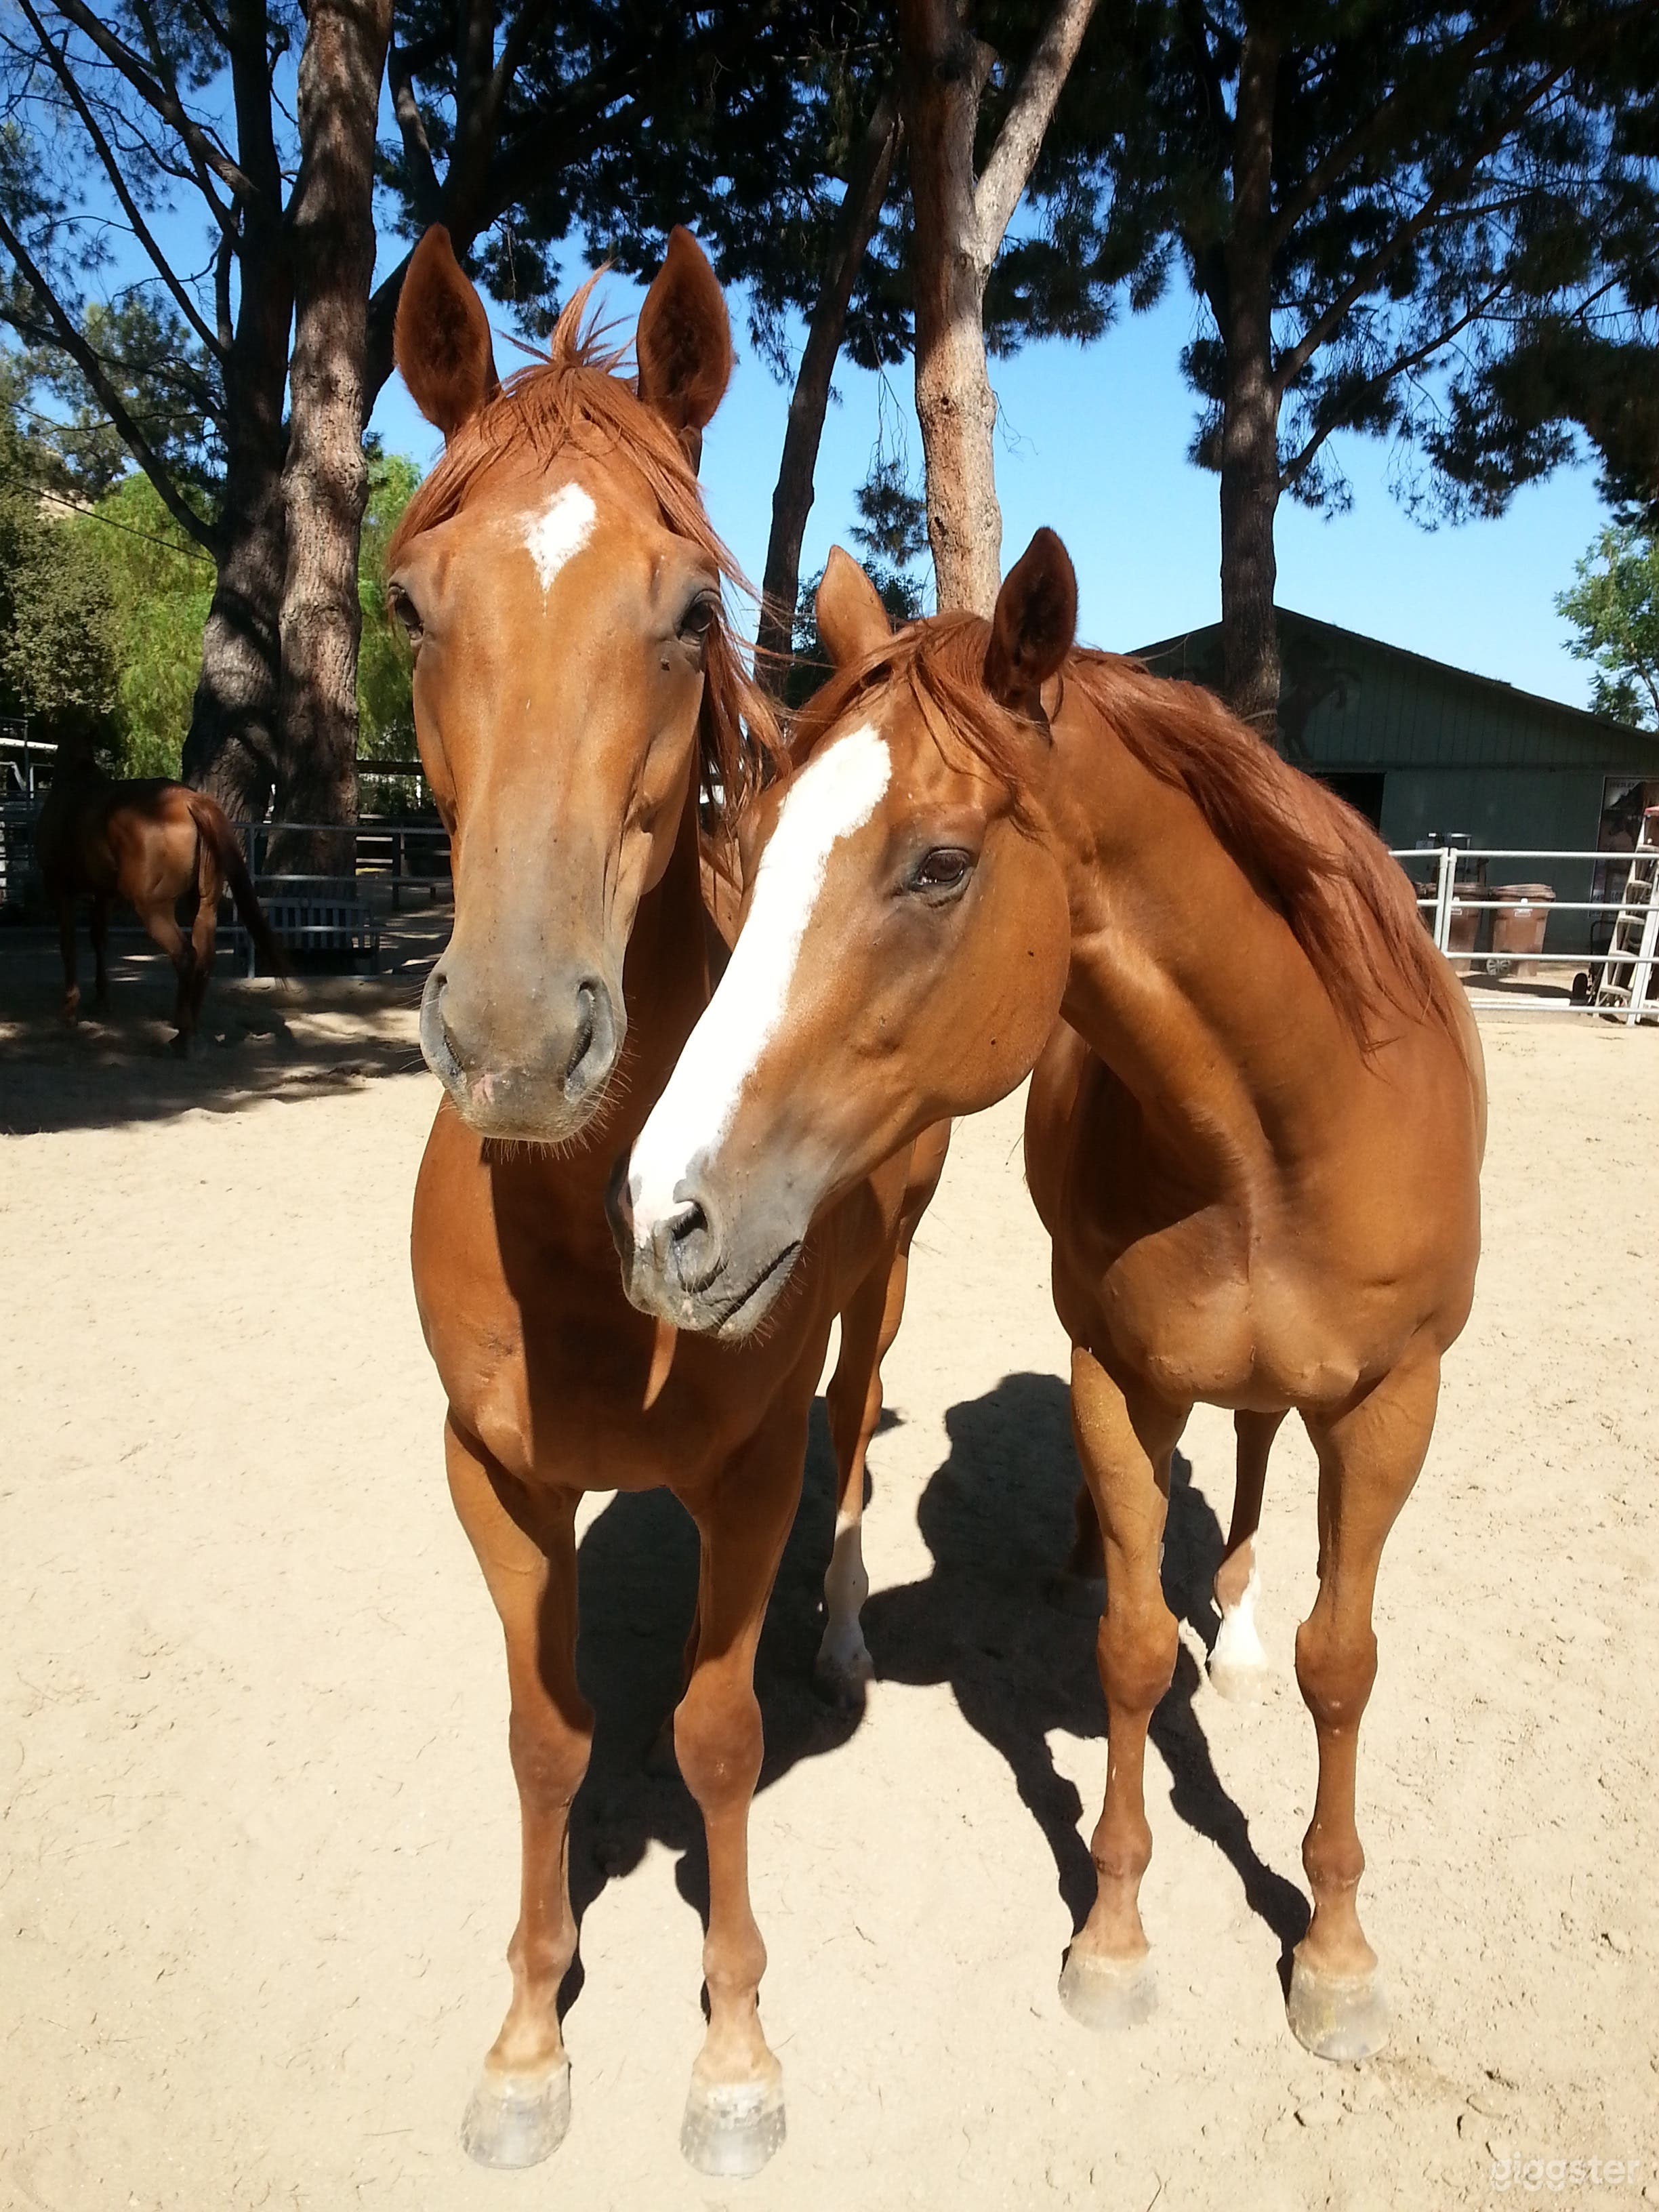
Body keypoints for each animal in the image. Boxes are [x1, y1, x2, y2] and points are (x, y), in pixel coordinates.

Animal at [32, 741, 281, 1050]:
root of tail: (191, 802)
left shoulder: (59, 888)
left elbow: (68, 946)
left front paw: (69, 1011)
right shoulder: (104, 895)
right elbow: (99, 940)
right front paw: (101, 1000)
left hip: (153, 909)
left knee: (185, 955)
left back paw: (183, 1037)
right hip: (203, 905)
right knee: (204, 957)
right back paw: (193, 1029)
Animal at [388, 222, 943, 2178]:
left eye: (695, 609)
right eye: (410, 605)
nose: (513, 1036)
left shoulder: (740, 1466)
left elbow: (713, 1741)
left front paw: (732, 2053)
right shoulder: (492, 1475)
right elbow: (546, 1740)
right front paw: (523, 2045)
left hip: (886, 1285)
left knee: (856, 1437)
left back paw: (836, 1631)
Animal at [612, 531, 1486, 2067]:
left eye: (939, 865)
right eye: (753, 849)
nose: (667, 1217)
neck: (1277, 1131)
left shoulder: (1394, 1401)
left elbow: (1342, 1663)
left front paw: (1333, 1954)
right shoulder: (1116, 1376)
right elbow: (1128, 1654)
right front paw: (1116, 1937)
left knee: (1253, 1460)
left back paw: (1237, 1633)